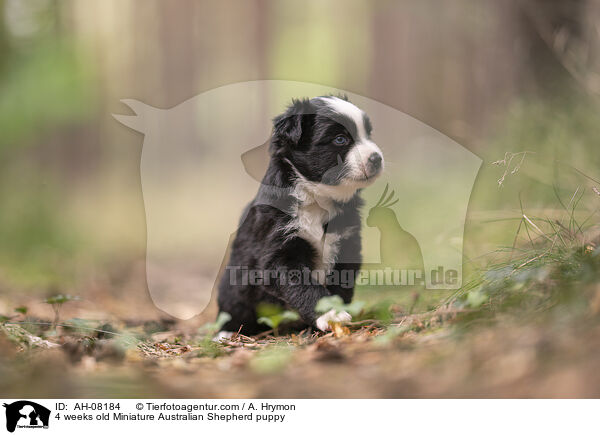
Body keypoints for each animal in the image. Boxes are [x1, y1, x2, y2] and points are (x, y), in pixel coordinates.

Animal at [218, 96, 382, 338]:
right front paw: (330, 314)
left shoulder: (347, 245)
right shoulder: (277, 253)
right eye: (340, 139)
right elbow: (302, 284)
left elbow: (341, 286)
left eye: (369, 134)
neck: (317, 199)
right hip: (233, 288)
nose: (376, 158)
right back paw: (226, 334)